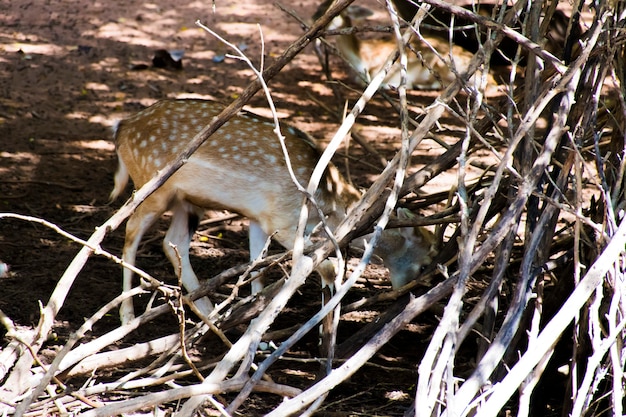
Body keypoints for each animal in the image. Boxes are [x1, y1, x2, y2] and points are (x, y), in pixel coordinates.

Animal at [109, 99, 434, 324]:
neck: (328, 205)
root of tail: (121, 127)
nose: (406, 294)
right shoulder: (283, 217)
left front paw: (254, 328)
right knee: (129, 233)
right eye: (425, 262)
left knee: (172, 242)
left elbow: (257, 267)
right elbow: (327, 268)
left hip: (188, 202)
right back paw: (127, 315)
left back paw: (210, 314)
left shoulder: (260, 219)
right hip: (152, 185)